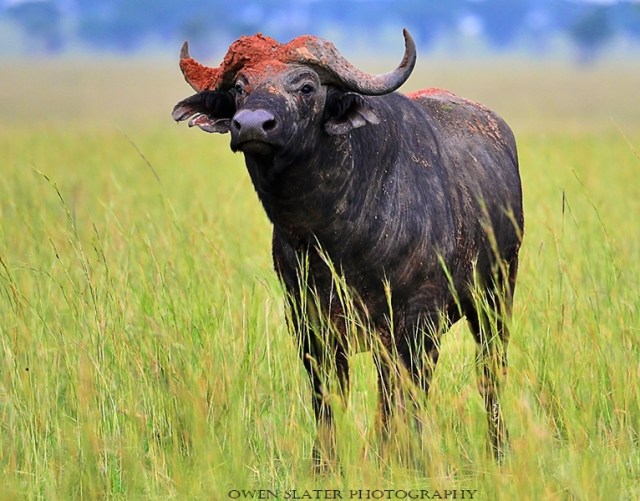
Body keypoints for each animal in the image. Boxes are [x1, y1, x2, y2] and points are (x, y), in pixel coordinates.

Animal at [172, 30, 524, 467]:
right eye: (240, 86)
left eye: (307, 87)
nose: (252, 125)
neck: (333, 236)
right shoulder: (308, 322)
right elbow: (328, 397)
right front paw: (326, 465)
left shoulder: (417, 319)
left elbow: (410, 395)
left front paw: (409, 459)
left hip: (496, 299)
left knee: (489, 374)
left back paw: (497, 451)